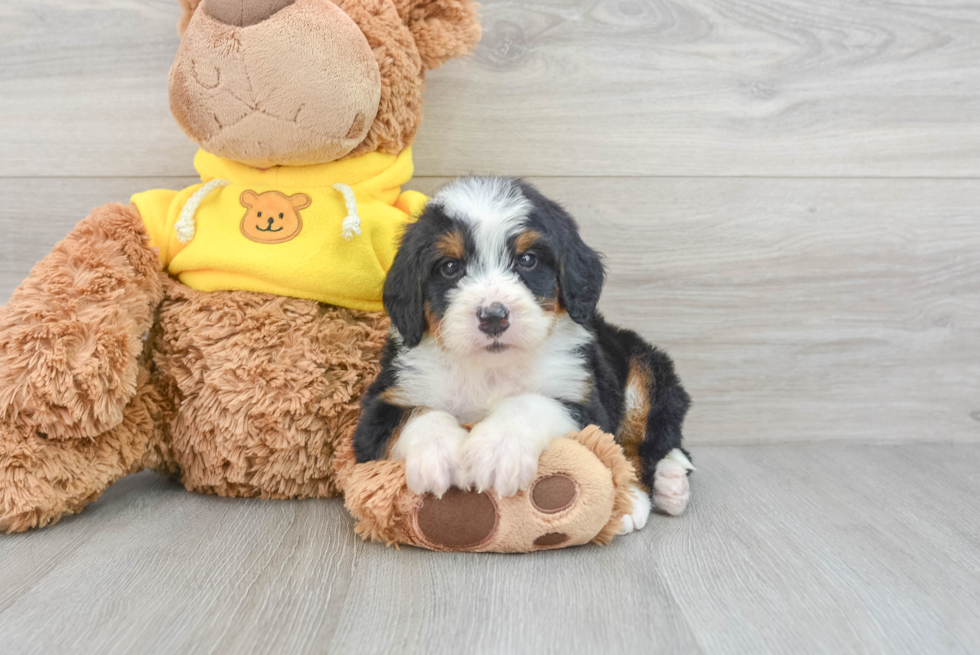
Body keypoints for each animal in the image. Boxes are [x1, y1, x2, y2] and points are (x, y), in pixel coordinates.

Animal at [356, 176, 692, 532]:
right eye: (449, 266)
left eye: (527, 260)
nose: (493, 316)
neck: (490, 368)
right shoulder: (380, 407)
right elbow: (417, 415)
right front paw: (440, 454)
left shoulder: (586, 400)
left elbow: (530, 403)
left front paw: (499, 448)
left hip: (646, 366)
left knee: (646, 439)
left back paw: (644, 494)